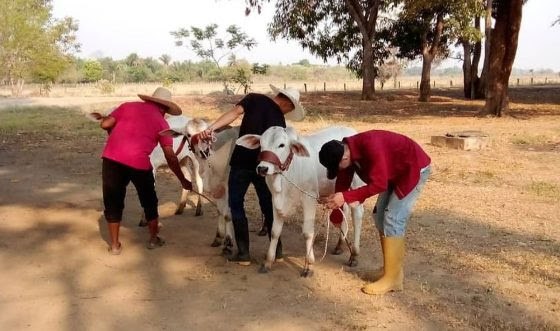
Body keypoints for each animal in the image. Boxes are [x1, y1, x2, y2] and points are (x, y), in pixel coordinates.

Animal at [162, 120, 241, 255]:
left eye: (208, 133)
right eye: (188, 135)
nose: (204, 152)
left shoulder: (228, 186)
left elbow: (227, 214)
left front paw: (228, 243)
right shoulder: (216, 188)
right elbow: (221, 211)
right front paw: (218, 238)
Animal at [237, 126, 366, 278]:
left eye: (282, 145)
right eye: (261, 145)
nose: (263, 168)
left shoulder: (309, 197)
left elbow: (308, 233)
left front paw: (309, 265)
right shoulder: (275, 199)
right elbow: (274, 231)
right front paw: (268, 262)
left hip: (356, 186)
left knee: (357, 215)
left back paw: (354, 255)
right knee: (344, 210)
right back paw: (339, 245)